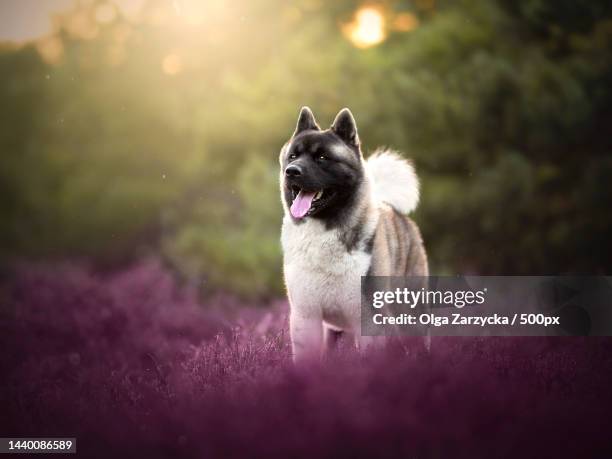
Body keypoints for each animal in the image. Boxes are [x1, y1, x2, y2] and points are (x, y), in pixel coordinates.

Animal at [280, 108, 428, 362]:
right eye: (293, 156)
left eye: (322, 157)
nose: (292, 171)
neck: (324, 229)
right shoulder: (306, 315)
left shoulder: (369, 318)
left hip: (409, 313)